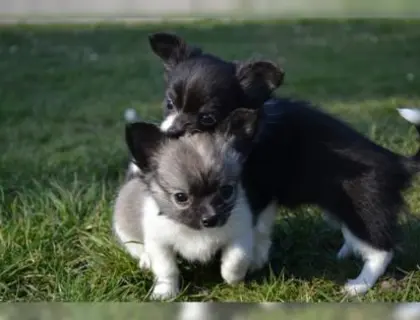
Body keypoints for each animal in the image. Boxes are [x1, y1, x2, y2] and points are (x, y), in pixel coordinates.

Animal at [113, 109, 276, 300]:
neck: (197, 232)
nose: (210, 219)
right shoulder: (160, 244)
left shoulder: (240, 235)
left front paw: (234, 280)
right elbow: (167, 271)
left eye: (227, 191)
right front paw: (164, 292)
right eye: (180, 197)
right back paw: (145, 260)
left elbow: (236, 260)